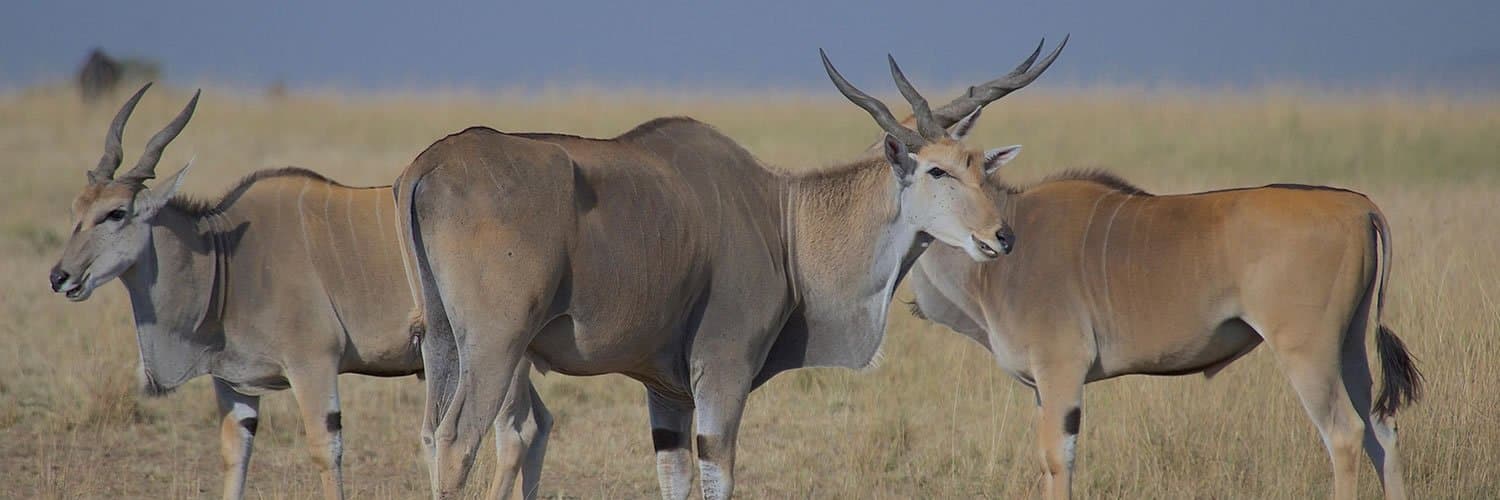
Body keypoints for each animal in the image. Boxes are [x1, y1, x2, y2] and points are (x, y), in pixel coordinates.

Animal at [47, 84, 424, 500]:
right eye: (76, 210)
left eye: (116, 213)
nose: (60, 277)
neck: (225, 256)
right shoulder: (233, 384)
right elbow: (235, 454)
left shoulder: (314, 365)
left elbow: (325, 450)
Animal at [394, 41, 1065, 499]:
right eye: (937, 170)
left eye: (980, 166)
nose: (1001, 237)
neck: (785, 218)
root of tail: (430, 163)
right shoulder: (723, 371)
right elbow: (719, 473)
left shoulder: (666, 394)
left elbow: (675, 477)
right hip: (497, 347)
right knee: (457, 441)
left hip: (445, 343)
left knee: (429, 435)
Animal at [906, 155, 1423, 496]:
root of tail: (1357, 206)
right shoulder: (1044, 388)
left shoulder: (1062, 374)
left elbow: (1058, 458)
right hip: (1350, 348)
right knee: (1382, 433)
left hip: (1308, 353)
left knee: (1345, 434)